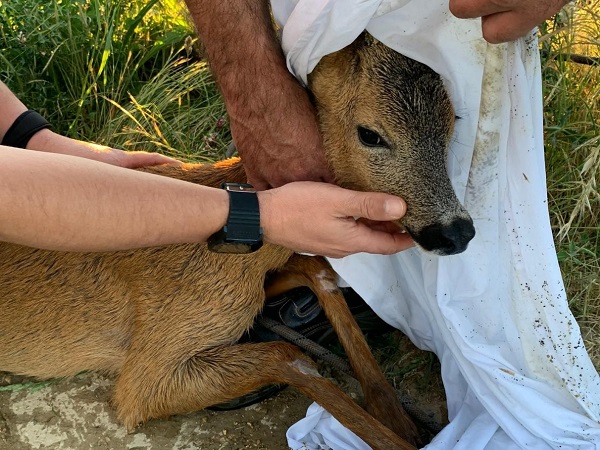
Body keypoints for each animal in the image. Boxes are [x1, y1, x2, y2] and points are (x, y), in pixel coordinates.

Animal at [0, 34, 474, 450]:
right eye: (370, 134)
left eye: (453, 121)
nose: (457, 232)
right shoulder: (149, 370)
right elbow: (291, 355)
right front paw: (398, 434)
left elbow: (317, 269)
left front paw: (393, 412)